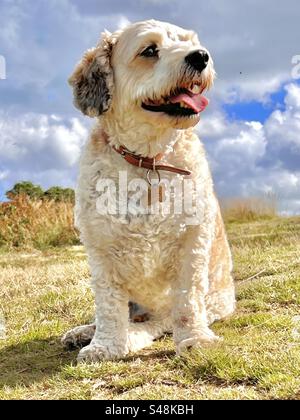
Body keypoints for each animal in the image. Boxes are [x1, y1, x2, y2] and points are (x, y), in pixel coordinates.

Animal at [61, 18, 234, 360]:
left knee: (156, 322)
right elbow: (108, 306)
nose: (201, 56)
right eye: (150, 50)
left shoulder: (191, 244)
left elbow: (187, 302)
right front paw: (104, 346)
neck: (148, 159)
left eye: (188, 42)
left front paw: (196, 338)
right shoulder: (101, 249)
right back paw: (85, 332)